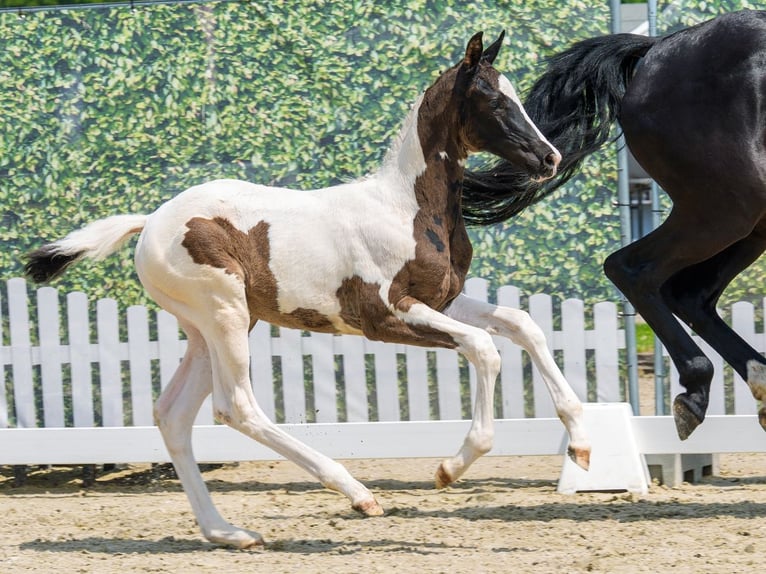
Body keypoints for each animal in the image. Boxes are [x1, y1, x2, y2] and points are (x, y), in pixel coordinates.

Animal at [24, 32, 590, 549]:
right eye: (494, 99)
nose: (550, 158)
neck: (408, 209)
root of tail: (150, 223)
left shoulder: (441, 301)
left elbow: (523, 325)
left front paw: (581, 445)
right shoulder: (386, 316)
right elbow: (485, 348)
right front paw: (450, 468)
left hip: (210, 328)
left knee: (173, 415)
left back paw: (227, 532)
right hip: (225, 315)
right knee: (236, 407)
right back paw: (357, 494)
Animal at [461, 9, 766, 441]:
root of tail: (658, 47)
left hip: (748, 222)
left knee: (690, 295)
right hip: (725, 207)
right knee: (632, 269)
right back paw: (695, 391)